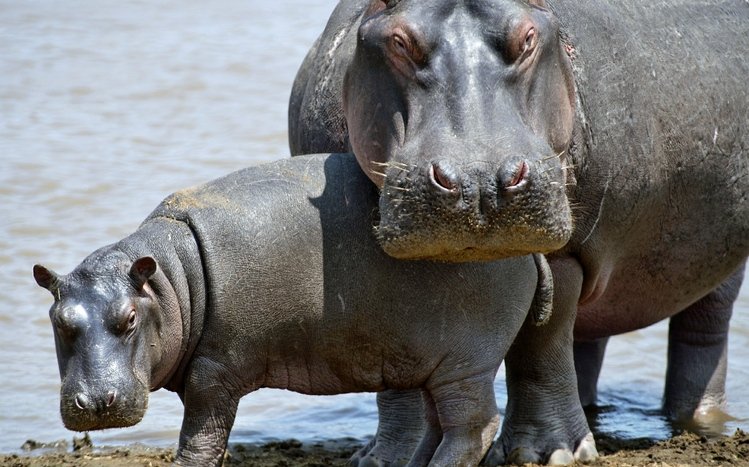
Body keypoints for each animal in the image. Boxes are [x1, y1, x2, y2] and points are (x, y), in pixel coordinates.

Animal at [33, 152, 574, 466]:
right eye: (58, 321)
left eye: (129, 319)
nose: (94, 403)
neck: (168, 280)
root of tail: (529, 248)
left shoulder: (216, 373)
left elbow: (200, 442)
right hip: (431, 359)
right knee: (439, 424)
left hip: (467, 362)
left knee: (472, 428)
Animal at [288, 0, 749, 463]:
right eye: (400, 41)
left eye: (527, 38)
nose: (479, 178)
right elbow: (394, 350)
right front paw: (390, 456)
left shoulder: (568, 254)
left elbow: (540, 344)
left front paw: (551, 453)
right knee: (587, 341)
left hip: (718, 261)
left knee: (704, 331)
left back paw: (698, 421)